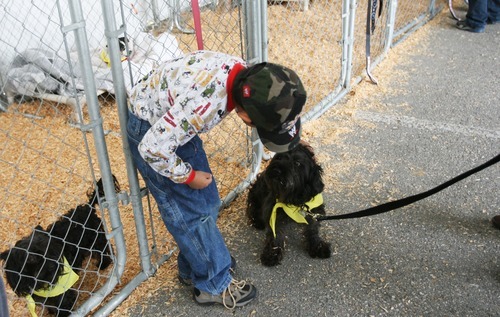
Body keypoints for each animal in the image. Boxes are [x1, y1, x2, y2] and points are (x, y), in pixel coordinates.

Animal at [0, 177, 119, 314]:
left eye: (48, 250)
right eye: (32, 258)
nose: (54, 264)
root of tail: (87, 208)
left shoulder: (63, 295)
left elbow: (64, 305)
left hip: (96, 241)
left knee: (105, 250)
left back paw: (103, 264)